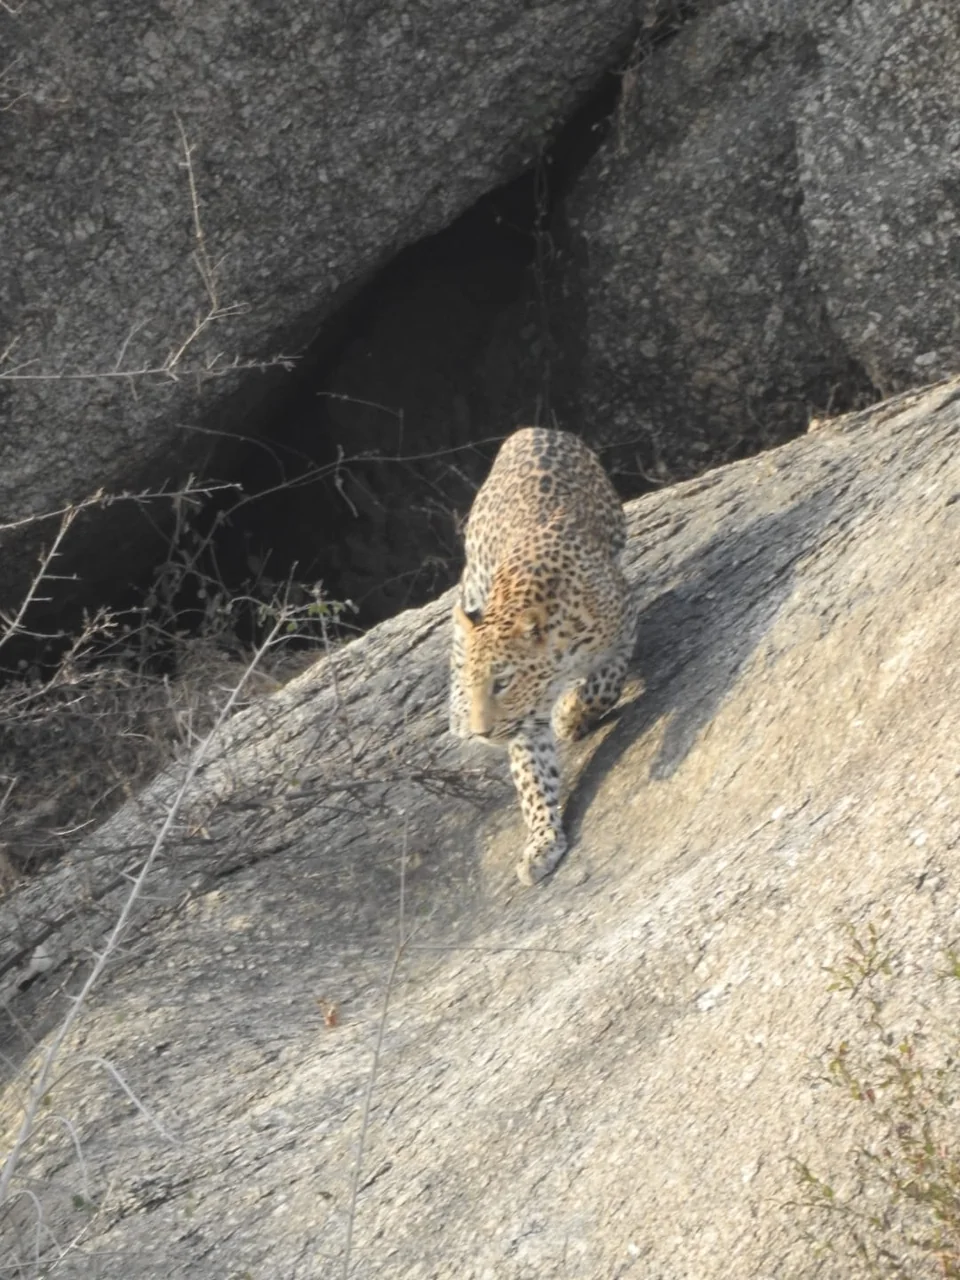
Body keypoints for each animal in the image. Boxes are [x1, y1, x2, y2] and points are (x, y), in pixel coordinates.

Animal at [449, 426, 636, 886]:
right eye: (482, 685)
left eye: (503, 682)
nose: (483, 732)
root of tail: (530, 430)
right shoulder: (522, 723)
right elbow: (534, 778)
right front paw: (541, 842)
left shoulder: (624, 624)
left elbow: (603, 685)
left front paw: (569, 716)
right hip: (474, 574)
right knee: (457, 626)